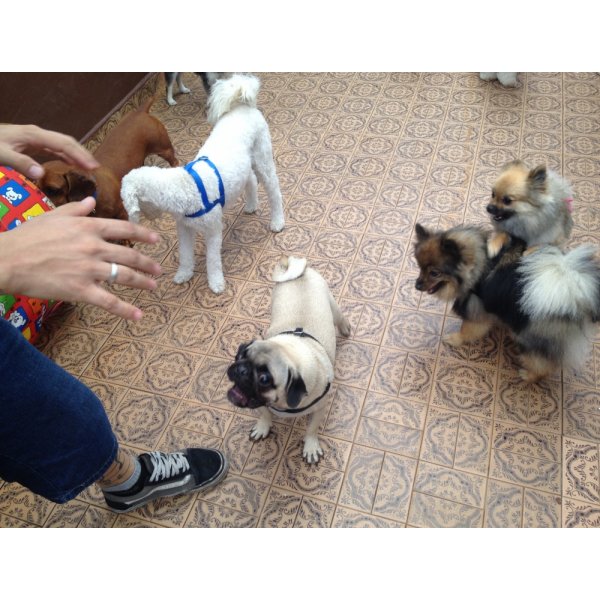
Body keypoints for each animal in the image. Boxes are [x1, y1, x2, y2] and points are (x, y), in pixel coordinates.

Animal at [38, 96, 176, 220]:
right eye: (37, 187)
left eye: (52, 190)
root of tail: (140, 112)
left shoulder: (121, 213)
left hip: (164, 149)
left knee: (174, 160)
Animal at [122, 74, 286, 294]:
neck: (184, 187)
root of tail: (243, 105)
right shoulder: (184, 229)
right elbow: (185, 255)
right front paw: (184, 274)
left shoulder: (213, 230)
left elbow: (213, 260)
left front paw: (216, 283)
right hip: (246, 165)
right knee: (251, 179)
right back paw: (251, 205)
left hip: (263, 160)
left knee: (274, 191)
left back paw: (277, 221)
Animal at [226, 256, 352, 464]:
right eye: (242, 354)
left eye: (264, 379)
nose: (241, 370)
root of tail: (296, 267)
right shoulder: (262, 404)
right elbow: (265, 413)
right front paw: (263, 426)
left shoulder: (320, 408)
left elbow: (312, 429)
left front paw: (310, 446)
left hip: (332, 306)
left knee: (339, 317)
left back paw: (345, 327)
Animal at [412, 223, 600, 382]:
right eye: (420, 267)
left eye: (434, 273)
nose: (417, 285)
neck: (478, 264)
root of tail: (575, 294)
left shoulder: (476, 309)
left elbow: (468, 330)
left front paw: (455, 338)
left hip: (532, 338)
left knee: (544, 363)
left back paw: (529, 375)